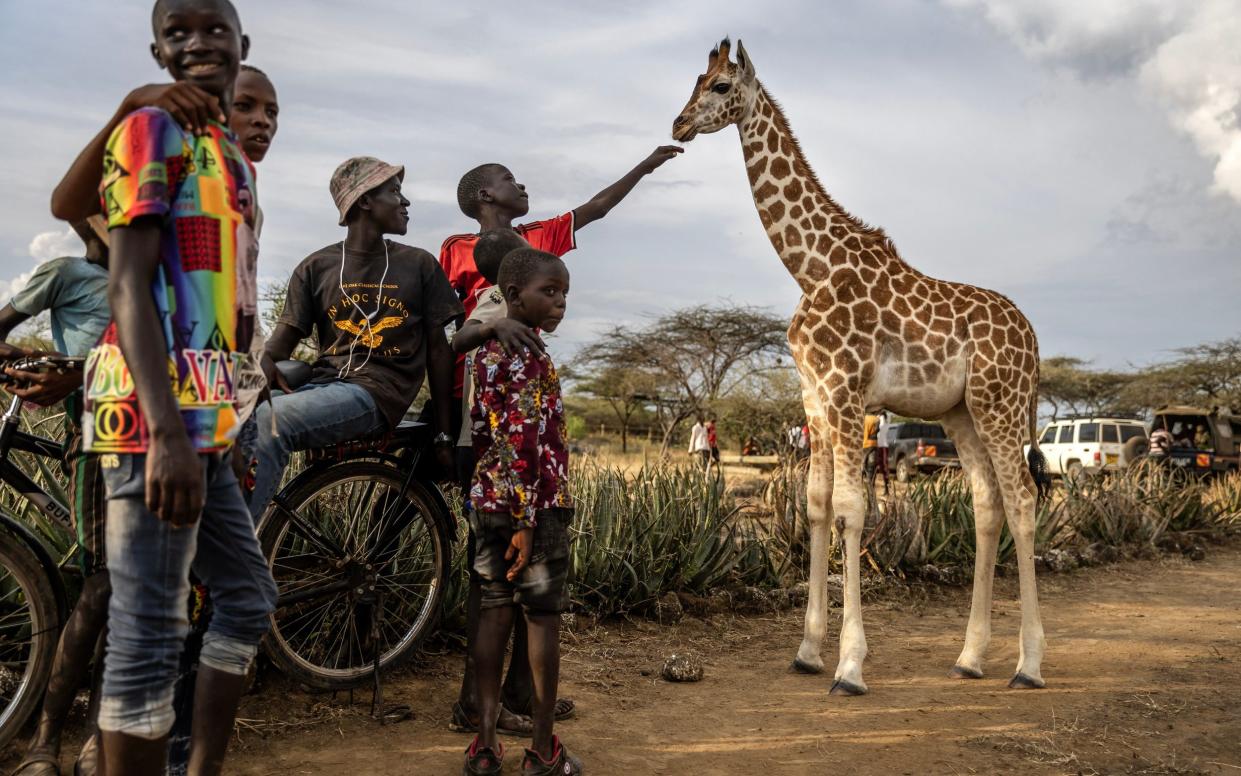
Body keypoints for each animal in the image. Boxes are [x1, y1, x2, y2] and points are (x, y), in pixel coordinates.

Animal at [680, 37, 1047, 690]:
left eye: (720, 86)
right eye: (695, 79)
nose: (677, 124)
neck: (811, 266)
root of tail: (1033, 338)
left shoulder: (847, 393)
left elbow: (852, 510)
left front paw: (849, 664)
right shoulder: (814, 399)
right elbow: (816, 507)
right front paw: (807, 650)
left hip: (999, 404)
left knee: (1024, 499)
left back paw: (1029, 665)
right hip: (961, 413)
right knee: (987, 503)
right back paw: (970, 657)